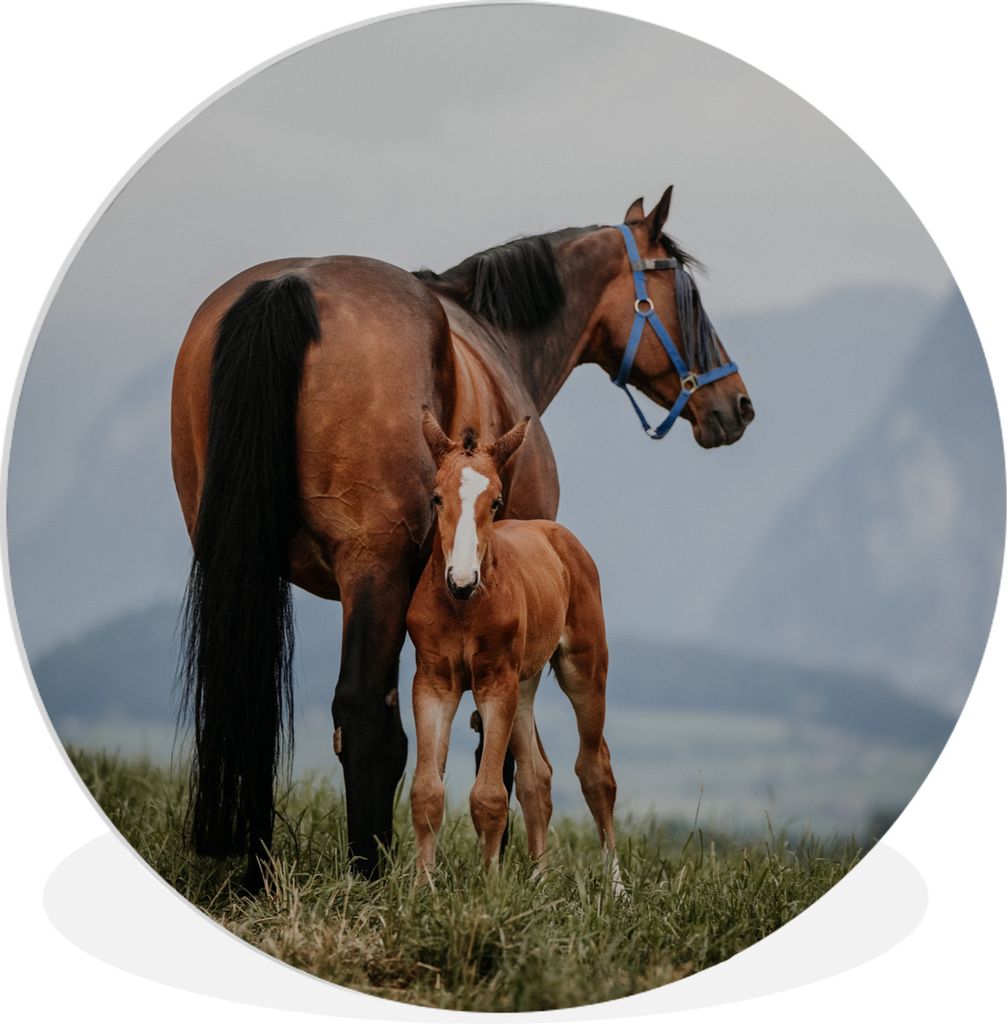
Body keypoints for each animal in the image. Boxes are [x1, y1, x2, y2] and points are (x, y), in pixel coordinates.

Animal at [408, 410, 620, 890]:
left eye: (496, 502)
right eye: (436, 498)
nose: (461, 579)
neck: (462, 609)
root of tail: (556, 534)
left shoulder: (494, 682)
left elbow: (489, 795)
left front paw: (489, 890)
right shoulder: (433, 682)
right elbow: (426, 791)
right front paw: (423, 889)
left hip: (583, 669)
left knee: (595, 769)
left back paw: (618, 889)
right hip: (524, 684)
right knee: (536, 777)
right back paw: (539, 880)